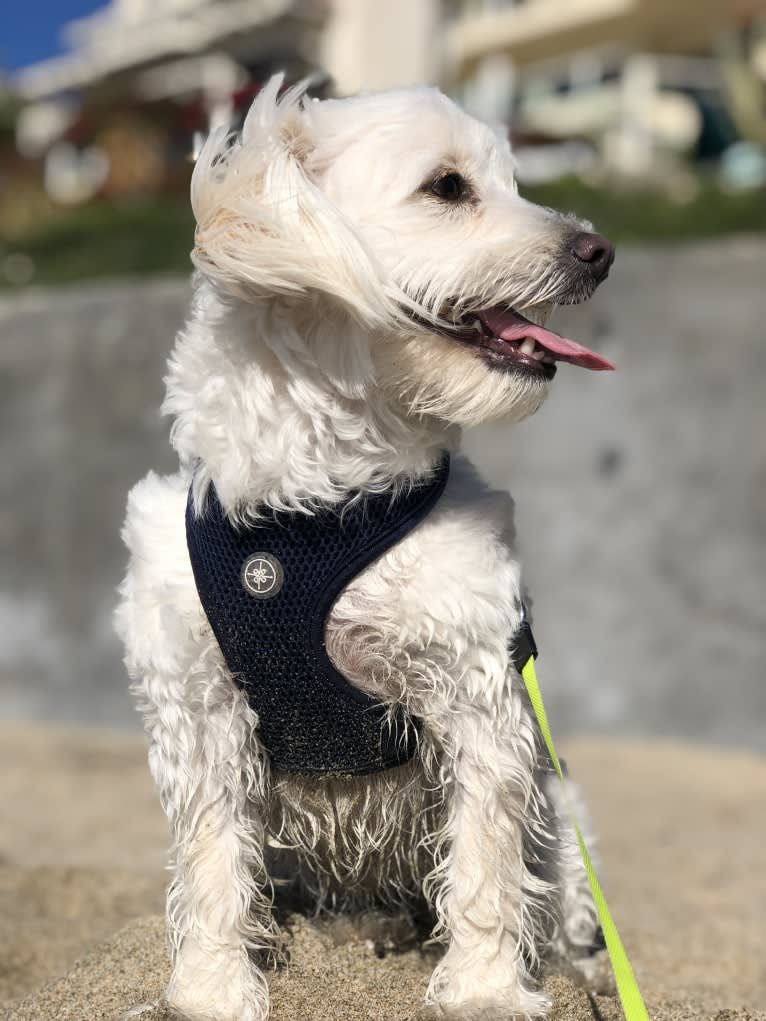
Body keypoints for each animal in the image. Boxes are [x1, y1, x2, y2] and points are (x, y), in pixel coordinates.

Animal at [115, 77, 616, 1021]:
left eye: (514, 179)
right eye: (449, 187)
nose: (598, 250)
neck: (319, 510)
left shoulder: (476, 684)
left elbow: (487, 860)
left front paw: (486, 990)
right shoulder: (199, 704)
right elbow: (210, 860)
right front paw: (209, 990)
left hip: (563, 816)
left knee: (560, 901)